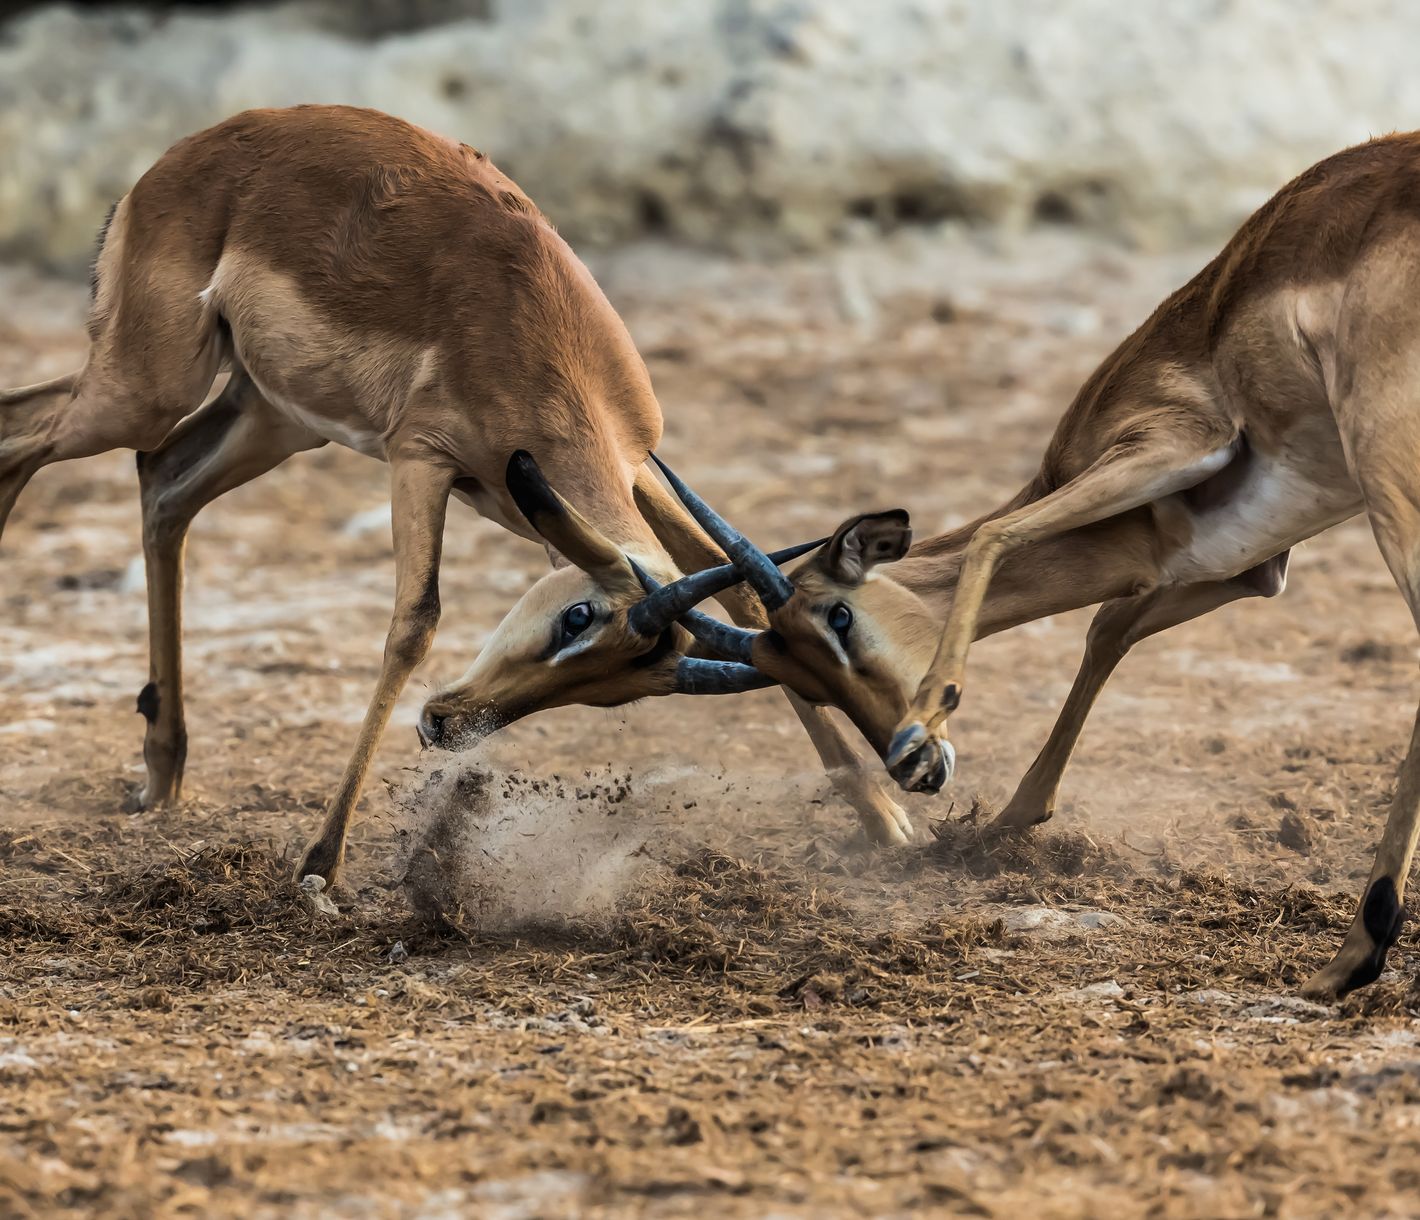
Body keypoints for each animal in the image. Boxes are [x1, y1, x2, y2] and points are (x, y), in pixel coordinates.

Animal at [0, 104, 916, 890]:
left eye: (617, 689)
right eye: (575, 619)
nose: (446, 726)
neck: (529, 328)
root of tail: (178, 160)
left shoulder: (640, 466)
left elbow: (743, 592)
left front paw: (887, 821)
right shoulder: (421, 459)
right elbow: (415, 624)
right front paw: (320, 864)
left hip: (272, 417)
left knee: (163, 481)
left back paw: (163, 771)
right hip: (145, 385)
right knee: (25, 433)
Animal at [651, 133, 1420, 1000]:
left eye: (838, 615)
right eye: (801, 681)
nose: (913, 766)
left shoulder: (1171, 445)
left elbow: (1000, 539)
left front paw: (932, 718)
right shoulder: (1235, 565)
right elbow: (1106, 631)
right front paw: (1007, 821)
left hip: (1386, 474)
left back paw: (1355, 951)